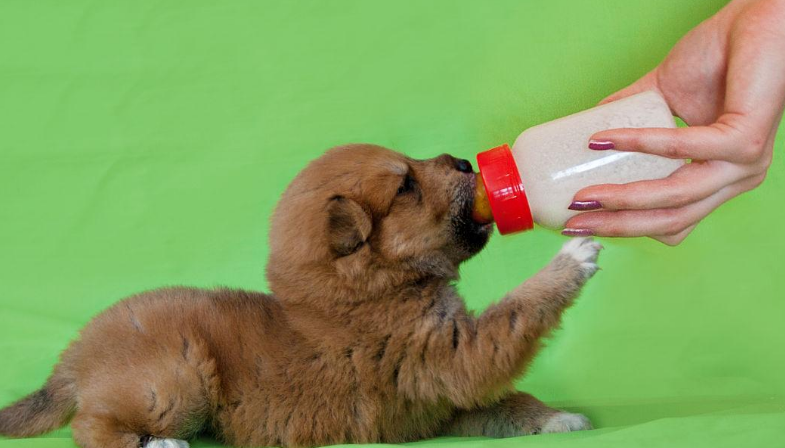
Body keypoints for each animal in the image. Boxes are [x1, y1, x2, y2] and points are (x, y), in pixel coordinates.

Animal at [0, 144, 600, 448]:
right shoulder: (454, 354)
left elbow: (510, 403)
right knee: (91, 426)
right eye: (405, 185)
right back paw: (160, 445)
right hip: (175, 378)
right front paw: (572, 259)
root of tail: (76, 355)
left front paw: (557, 419)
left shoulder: (438, 401)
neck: (365, 292)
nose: (464, 162)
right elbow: (515, 313)